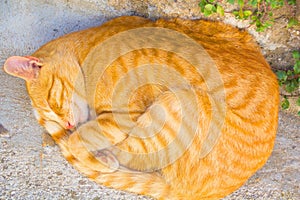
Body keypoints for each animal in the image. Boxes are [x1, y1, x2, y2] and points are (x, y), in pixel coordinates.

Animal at [2, 16, 278, 199]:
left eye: (51, 103)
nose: (68, 124)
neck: (89, 48)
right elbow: (78, 138)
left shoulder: (124, 117)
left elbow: (76, 141)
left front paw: (88, 149)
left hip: (175, 102)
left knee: (133, 156)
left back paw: (104, 158)